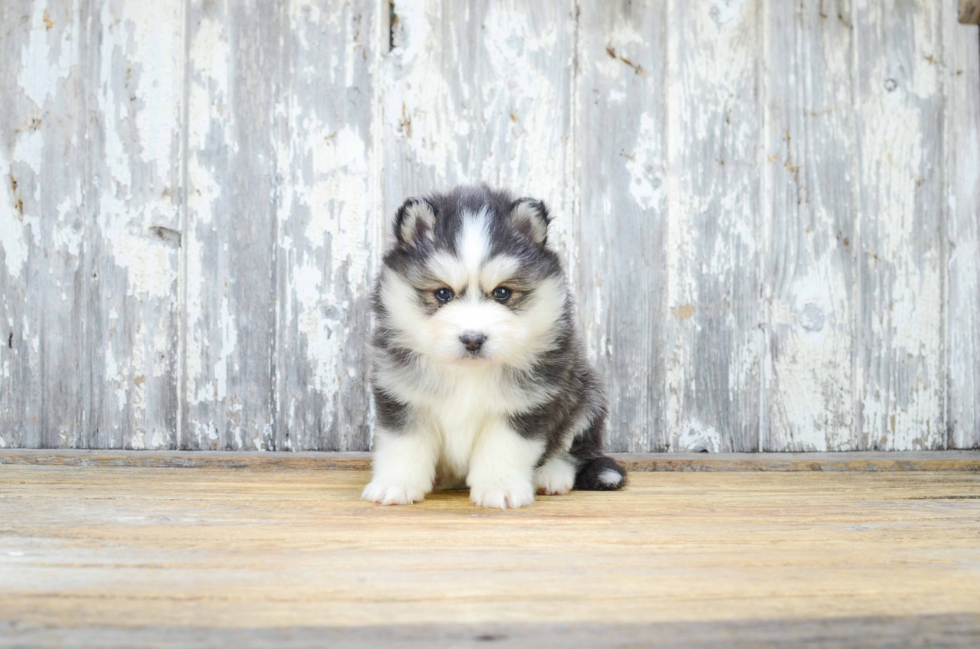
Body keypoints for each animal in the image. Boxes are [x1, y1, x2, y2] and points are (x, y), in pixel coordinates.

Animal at [362, 185, 628, 508]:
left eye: (502, 293)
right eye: (443, 293)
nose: (473, 339)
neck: (468, 373)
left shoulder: (526, 402)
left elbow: (505, 447)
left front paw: (500, 487)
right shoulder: (402, 396)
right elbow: (403, 445)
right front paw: (396, 484)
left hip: (586, 394)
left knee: (574, 450)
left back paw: (551, 476)